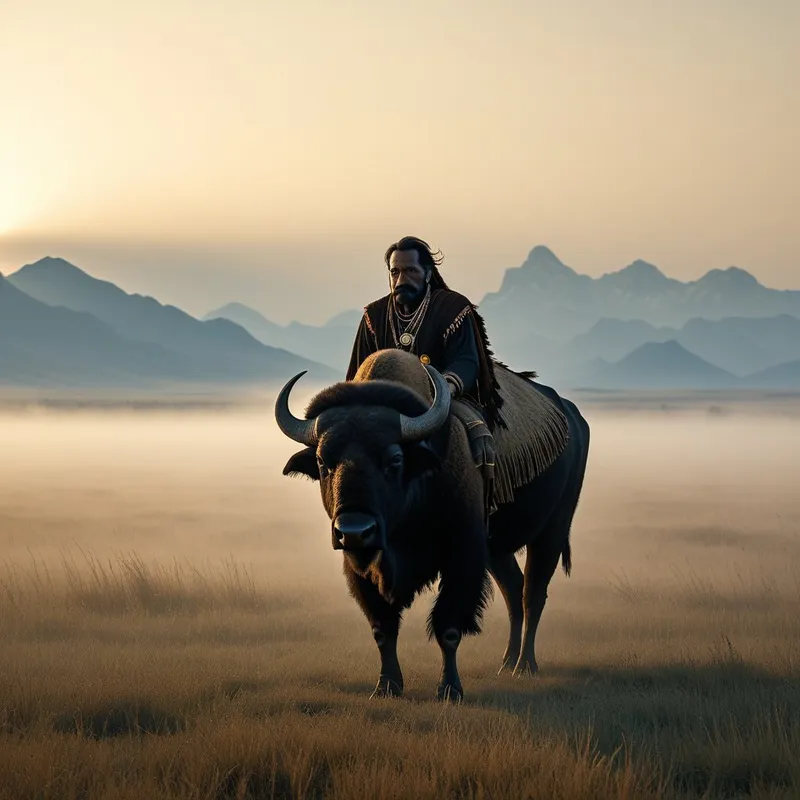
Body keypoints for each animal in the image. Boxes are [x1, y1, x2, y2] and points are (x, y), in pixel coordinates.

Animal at [275, 348, 590, 701]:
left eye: (395, 458)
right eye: (322, 461)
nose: (354, 531)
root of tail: (573, 418)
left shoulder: (463, 555)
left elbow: (448, 627)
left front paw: (450, 689)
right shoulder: (360, 567)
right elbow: (382, 628)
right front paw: (387, 686)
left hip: (552, 530)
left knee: (532, 594)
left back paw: (525, 666)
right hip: (497, 551)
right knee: (513, 590)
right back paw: (507, 662)